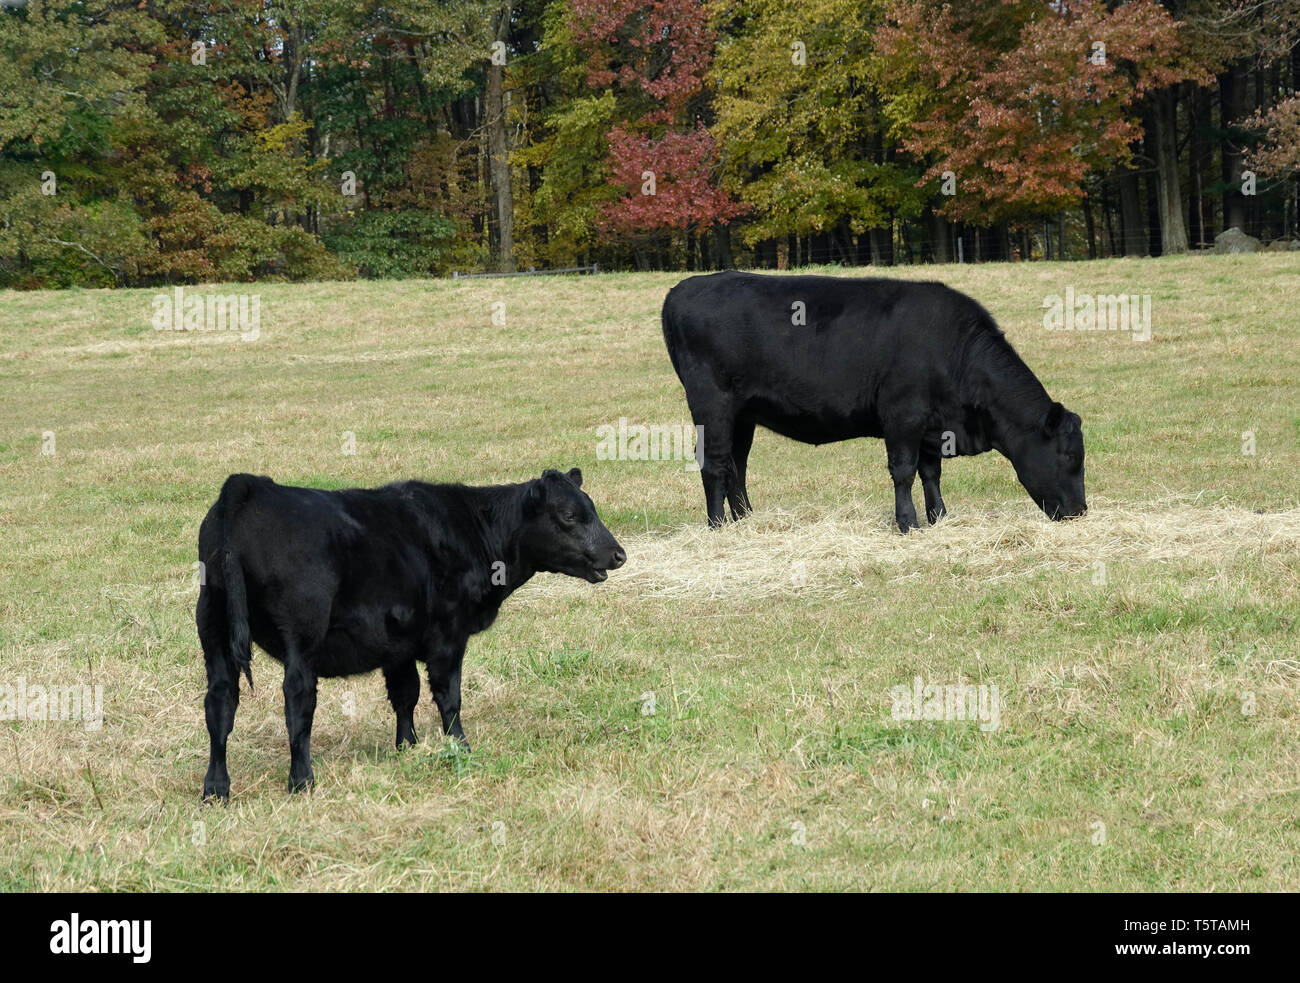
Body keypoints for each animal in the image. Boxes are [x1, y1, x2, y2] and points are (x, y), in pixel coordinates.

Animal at [196, 467, 625, 799]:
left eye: (591, 510)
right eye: (568, 516)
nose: (618, 554)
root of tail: (250, 485)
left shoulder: (397, 644)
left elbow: (405, 695)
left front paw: (407, 747)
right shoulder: (449, 636)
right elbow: (448, 696)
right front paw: (461, 746)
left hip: (213, 629)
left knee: (220, 703)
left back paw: (216, 788)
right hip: (301, 637)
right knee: (298, 702)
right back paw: (302, 781)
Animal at [661, 271, 1087, 532]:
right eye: (1070, 456)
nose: (1080, 511)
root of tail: (682, 289)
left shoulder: (931, 425)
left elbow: (931, 473)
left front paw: (939, 517)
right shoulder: (902, 415)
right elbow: (904, 471)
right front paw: (908, 523)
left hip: (743, 413)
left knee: (738, 464)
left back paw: (747, 520)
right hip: (711, 405)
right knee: (714, 464)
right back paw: (719, 526)